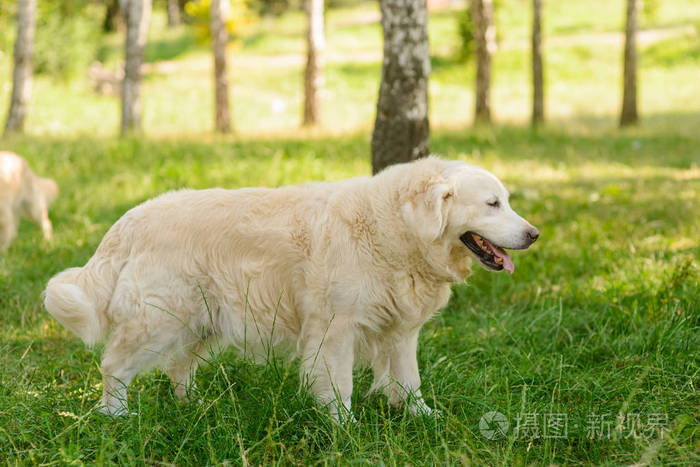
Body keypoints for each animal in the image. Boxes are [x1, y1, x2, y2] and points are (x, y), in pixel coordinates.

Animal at [43, 157, 540, 420]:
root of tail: (132, 217)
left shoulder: (400, 332)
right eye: (492, 204)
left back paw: (196, 406)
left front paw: (422, 418)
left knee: (178, 368)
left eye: (507, 201)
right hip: (159, 321)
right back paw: (116, 415)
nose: (534, 234)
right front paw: (344, 427)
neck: (392, 228)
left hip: (201, 323)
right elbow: (338, 384)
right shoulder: (335, 328)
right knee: (114, 365)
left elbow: (409, 379)